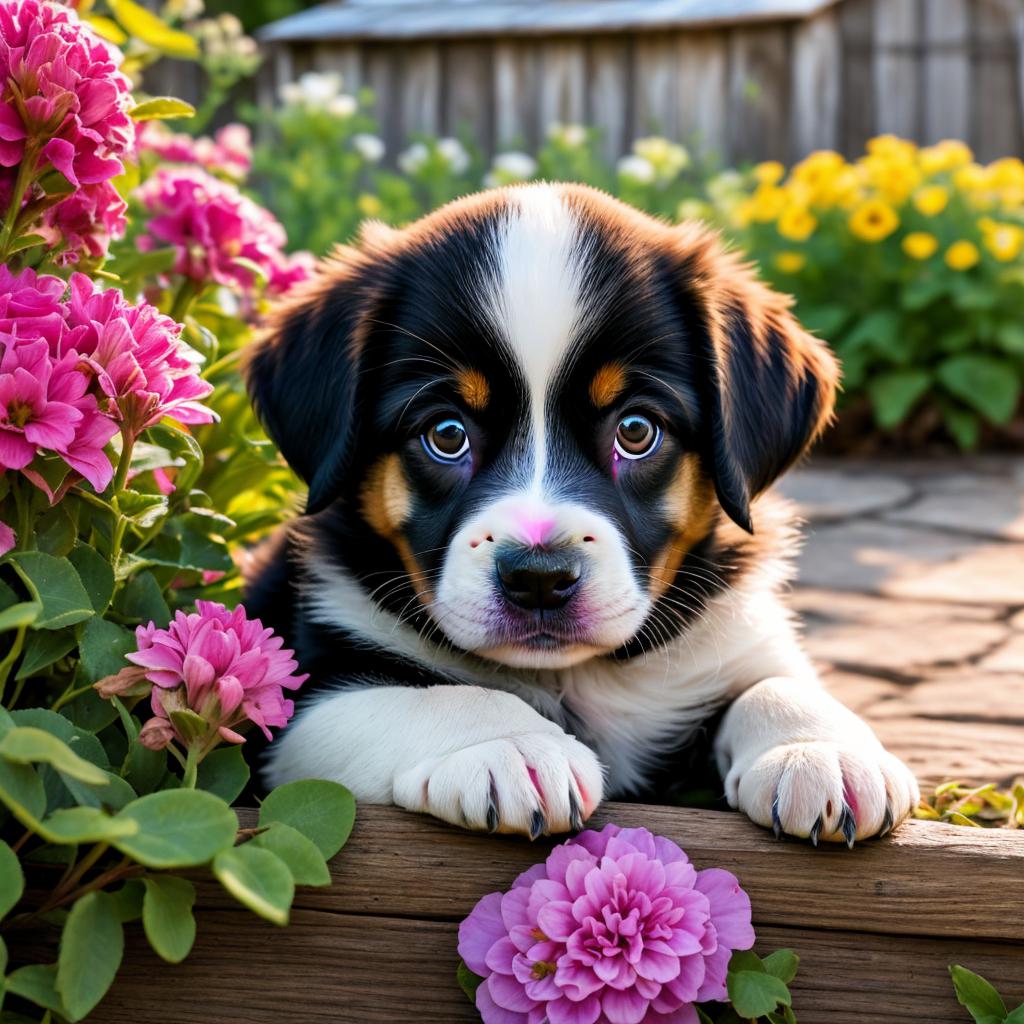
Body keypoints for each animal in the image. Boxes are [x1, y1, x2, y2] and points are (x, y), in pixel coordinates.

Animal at [245, 184, 921, 847]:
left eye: (636, 430)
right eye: (446, 434)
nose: (539, 578)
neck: (577, 678)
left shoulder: (739, 637)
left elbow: (778, 684)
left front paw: (820, 752)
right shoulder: (301, 702)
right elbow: (436, 693)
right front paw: (512, 745)